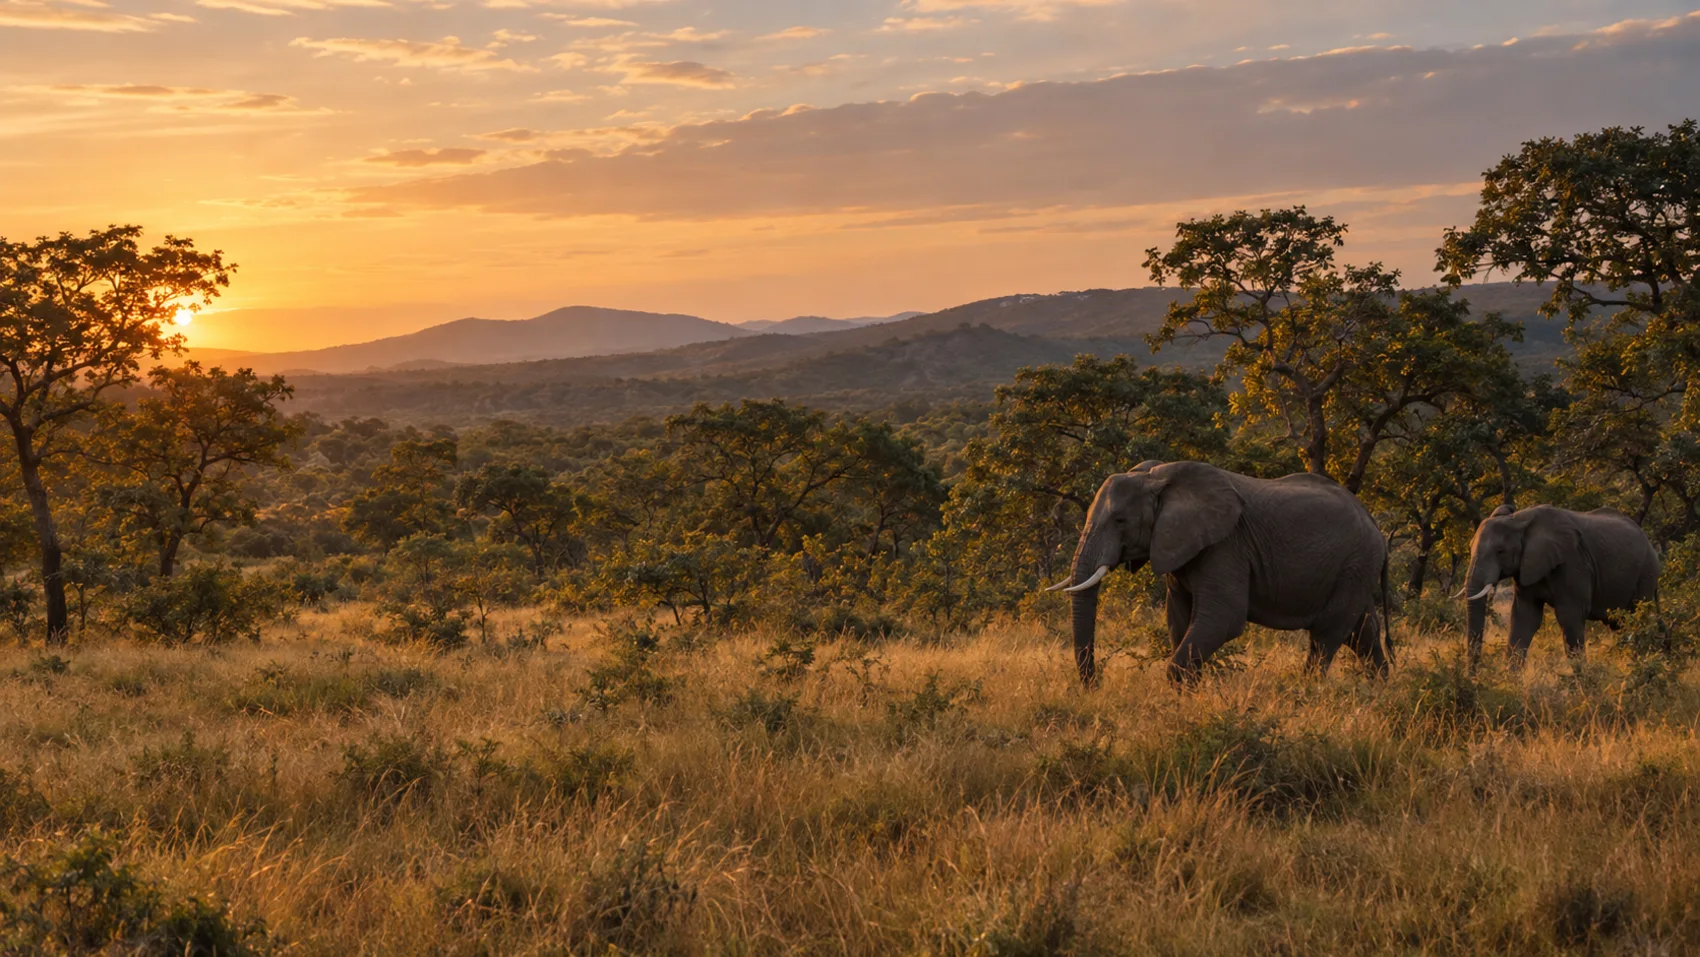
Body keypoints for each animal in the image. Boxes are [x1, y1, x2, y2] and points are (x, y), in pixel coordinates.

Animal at [1050, 460, 1391, 686]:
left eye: (1120, 520)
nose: (1095, 684)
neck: (1155, 478)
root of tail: (1375, 523)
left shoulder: (1226, 545)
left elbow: (1223, 618)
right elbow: (1179, 619)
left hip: (1356, 561)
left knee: (1327, 635)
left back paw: (1307, 692)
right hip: (1355, 568)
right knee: (1363, 633)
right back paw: (1379, 690)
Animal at [1460, 505, 1659, 670]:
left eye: (1500, 551)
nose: (1474, 675)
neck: (1518, 521)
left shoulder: (1573, 563)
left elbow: (1569, 616)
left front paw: (1582, 684)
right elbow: (1524, 617)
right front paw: (1510, 683)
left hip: (1646, 573)